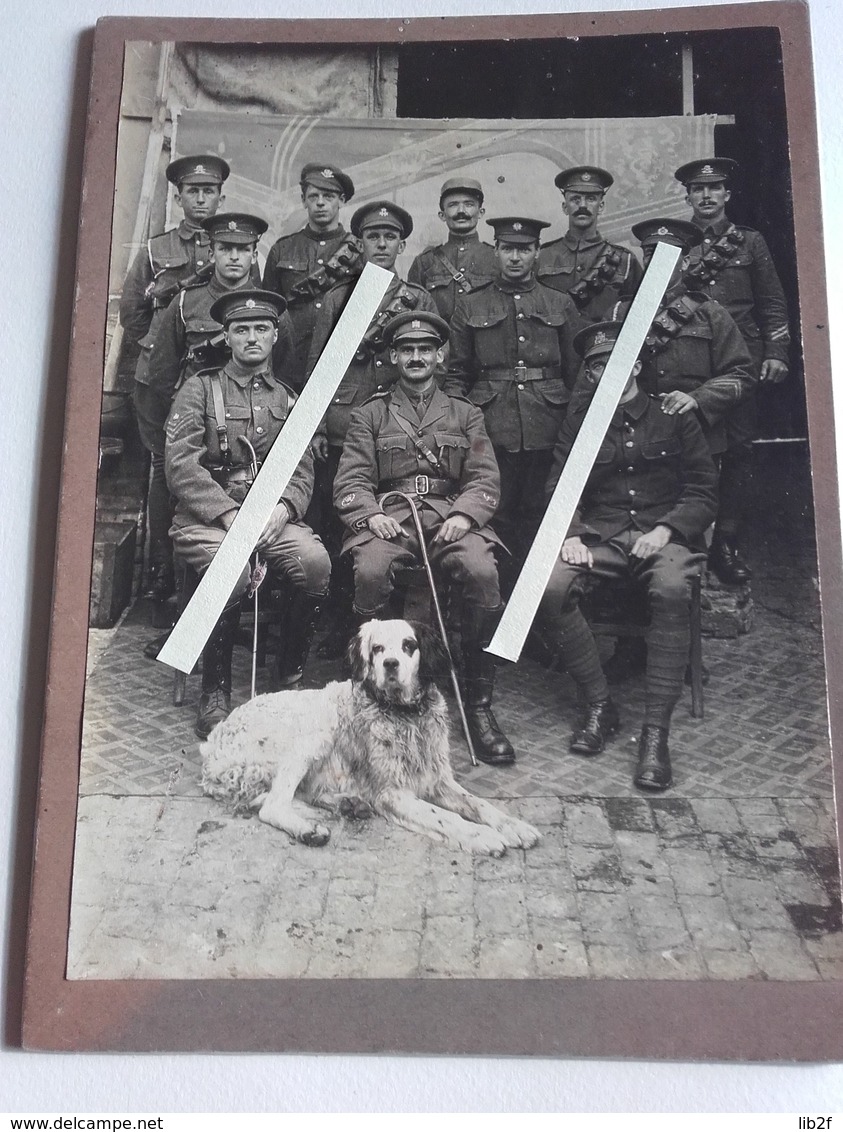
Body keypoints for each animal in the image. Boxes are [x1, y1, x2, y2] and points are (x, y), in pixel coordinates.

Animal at [200, 624, 538, 851]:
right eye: (377, 648)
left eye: (409, 645)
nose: (391, 664)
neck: (405, 714)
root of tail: (211, 748)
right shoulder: (392, 792)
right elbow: (445, 817)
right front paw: (482, 835)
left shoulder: (438, 779)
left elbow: (479, 805)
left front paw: (514, 826)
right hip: (314, 735)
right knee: (273, 805)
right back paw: (310, 829)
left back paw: (347, 804)